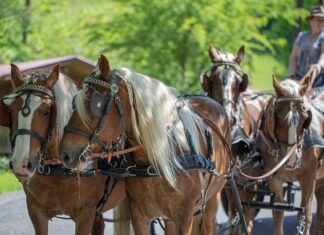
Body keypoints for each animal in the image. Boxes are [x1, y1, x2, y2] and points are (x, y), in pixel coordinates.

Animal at [0, 63, 125, 235]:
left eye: (46, 112)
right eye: (11, 111)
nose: (21, 164)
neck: (59, 171)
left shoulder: (85, 214)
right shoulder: (36, 211)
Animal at [200, 44, 268, 233]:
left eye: (238, 82)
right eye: (214, 79)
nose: (227, 115)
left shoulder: (244, 177)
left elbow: (244, 212)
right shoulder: (227, 178)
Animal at [256, 76, 324, 234]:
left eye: (305, 117)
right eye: (277, 116)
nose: (292, 160)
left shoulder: (309, 177)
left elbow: (305, 214)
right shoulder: (274, 177)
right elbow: (278, 212)